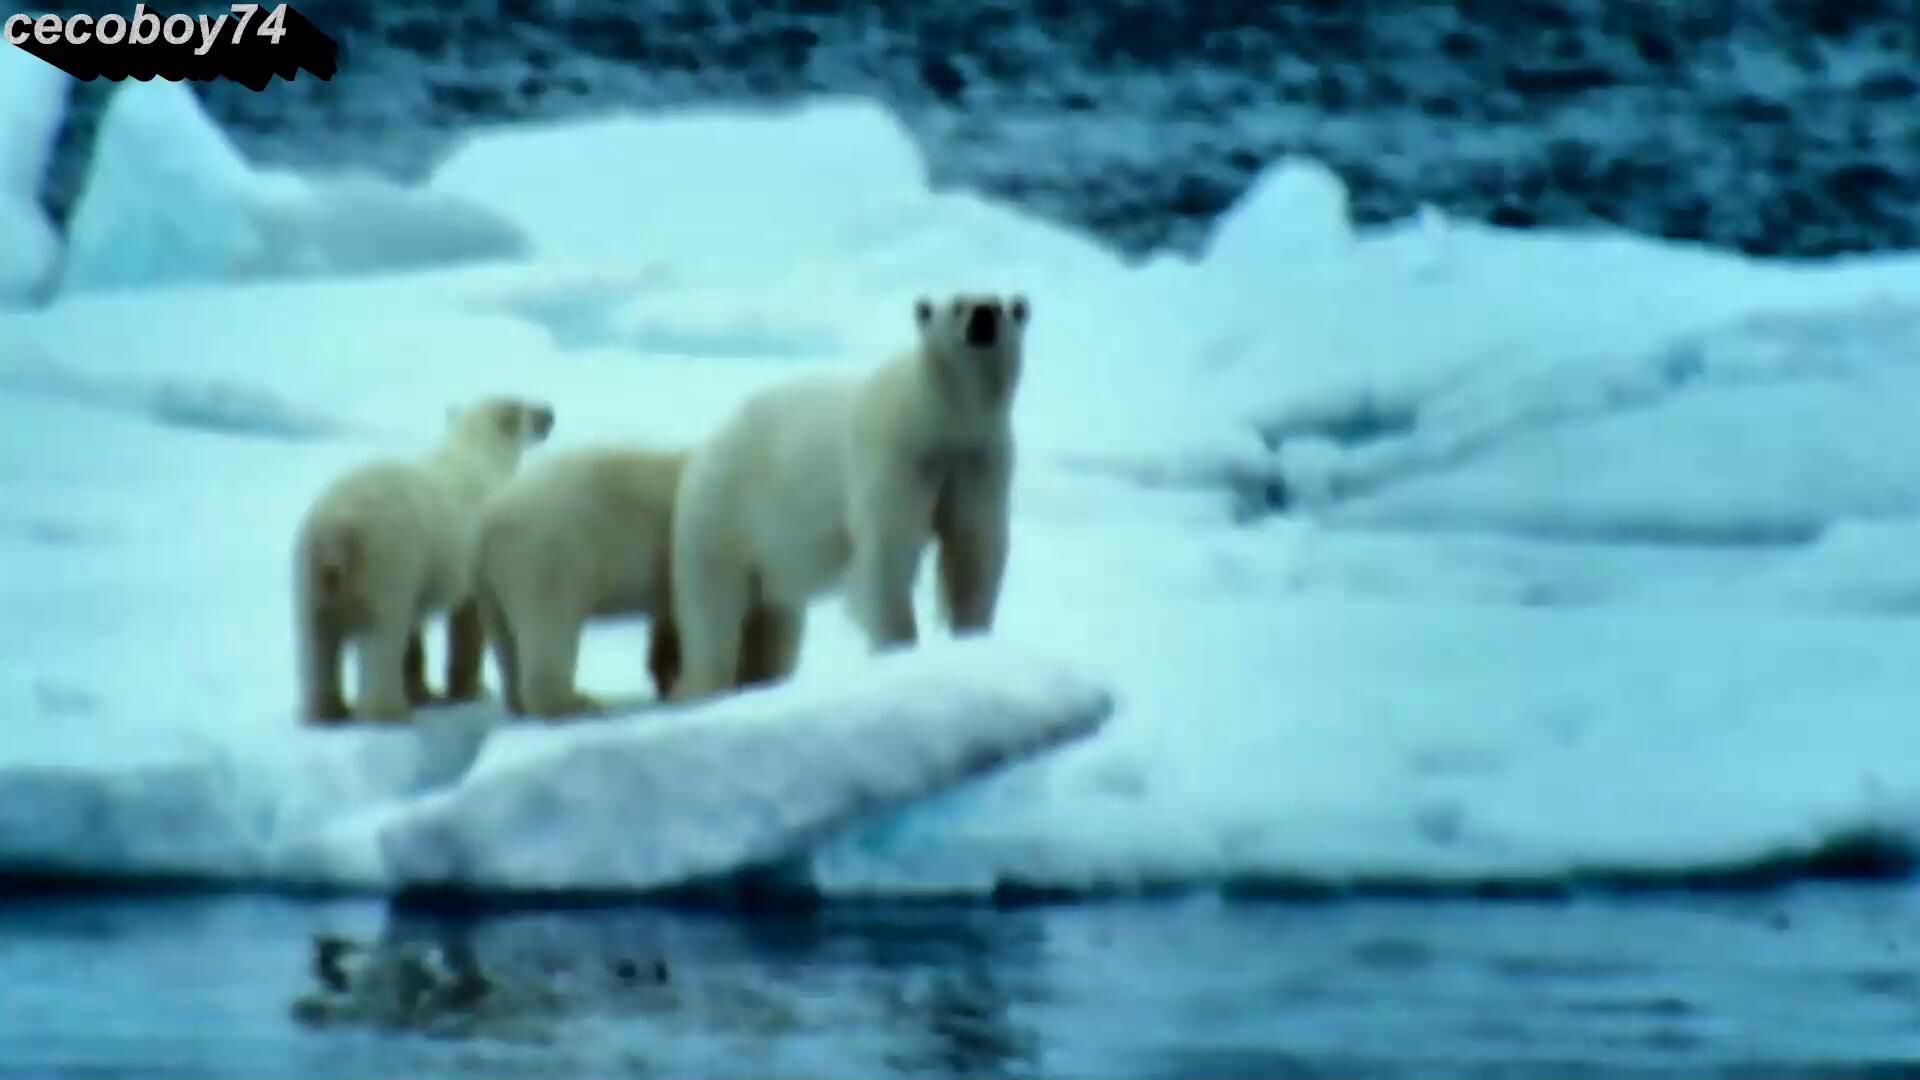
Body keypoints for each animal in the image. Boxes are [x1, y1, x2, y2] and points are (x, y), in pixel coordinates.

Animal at [293, 395, 554, 723]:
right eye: (527, 407)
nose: (551, 414)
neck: (477, 452)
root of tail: (335, 529)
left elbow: (414, 632)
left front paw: (423, 692)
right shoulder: (462, 555)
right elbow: (467, 619)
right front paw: (472, 690)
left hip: (309, 573)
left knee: (316, 641)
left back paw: (326, 711)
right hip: (386, 557)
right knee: (382, 632)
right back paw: (387, 710)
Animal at [473, 446, 790, 720]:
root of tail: (490, 521)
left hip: (493, 584)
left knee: (506, 641)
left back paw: (519, 703)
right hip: (552, 551)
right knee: (549, 624)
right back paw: (580, 704)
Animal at [666, 292, 1029, 704]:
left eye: (1000, 306)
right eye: (957, 305)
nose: (983, 317)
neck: (938, 416)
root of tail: (703, 450)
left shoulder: (979, 460)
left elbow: (973, 547)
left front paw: (972, 638)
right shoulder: (896, 454)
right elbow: (888, 554)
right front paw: (898, 648)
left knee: (773, 620)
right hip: (723, 517)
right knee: (714, 615)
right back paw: (703, 685)